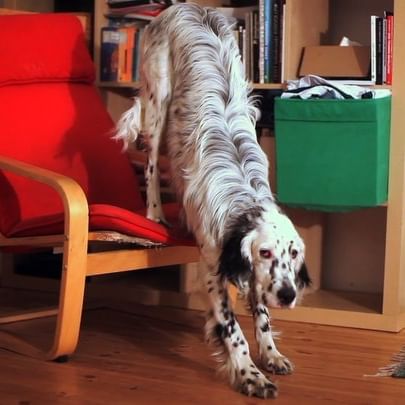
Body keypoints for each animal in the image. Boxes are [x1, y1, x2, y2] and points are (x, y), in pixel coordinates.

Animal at [115, 1, 310, 396]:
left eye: (293, 254)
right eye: (265, 252)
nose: (288, 295)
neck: (243, 198)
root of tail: (181, 6)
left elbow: (261, 316)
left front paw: (271, 354)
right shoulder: (213, 269)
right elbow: (233, 330)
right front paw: (250, 374)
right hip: (158, 101)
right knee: (152, 164)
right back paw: (155, 213)